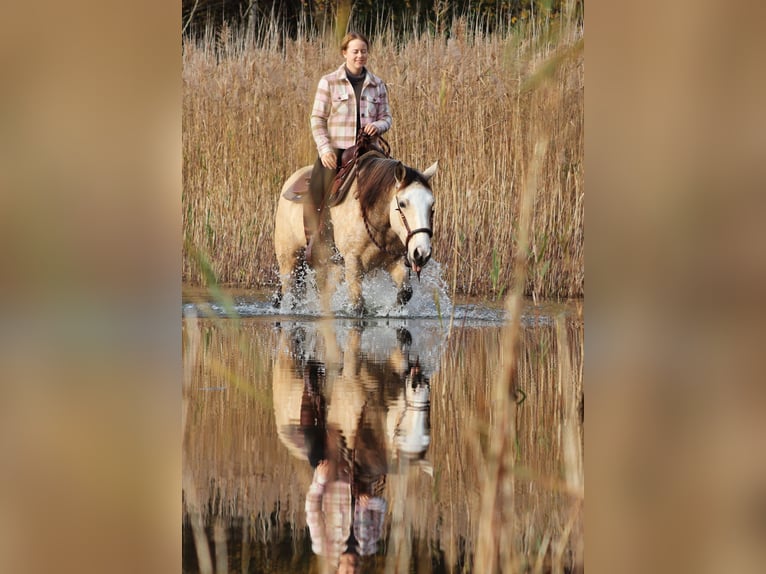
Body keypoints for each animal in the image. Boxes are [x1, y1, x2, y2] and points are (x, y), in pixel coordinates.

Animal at [274, 156, 437, 314]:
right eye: (402, 204)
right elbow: (358, 305)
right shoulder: (353, 262)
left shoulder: (395, 262)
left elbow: (405, 293)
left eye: (432, 204)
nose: (422, 252)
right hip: (290, 261)